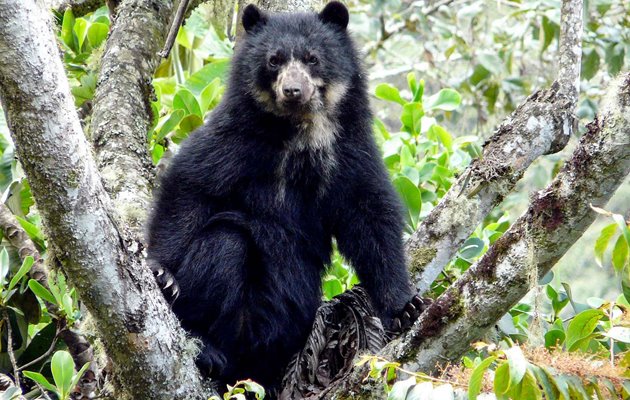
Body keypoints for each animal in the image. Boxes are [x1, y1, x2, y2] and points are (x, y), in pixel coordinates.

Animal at [148, 1, 424, 396]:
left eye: (312, 58)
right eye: (274, 60)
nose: (293, 90)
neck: (300, 130)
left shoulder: (349, 151)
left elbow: (371, 217)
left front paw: (406, 307)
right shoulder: (234, 138)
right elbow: (190, 187)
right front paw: (162, 274)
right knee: (226, 243)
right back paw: (208, 349)